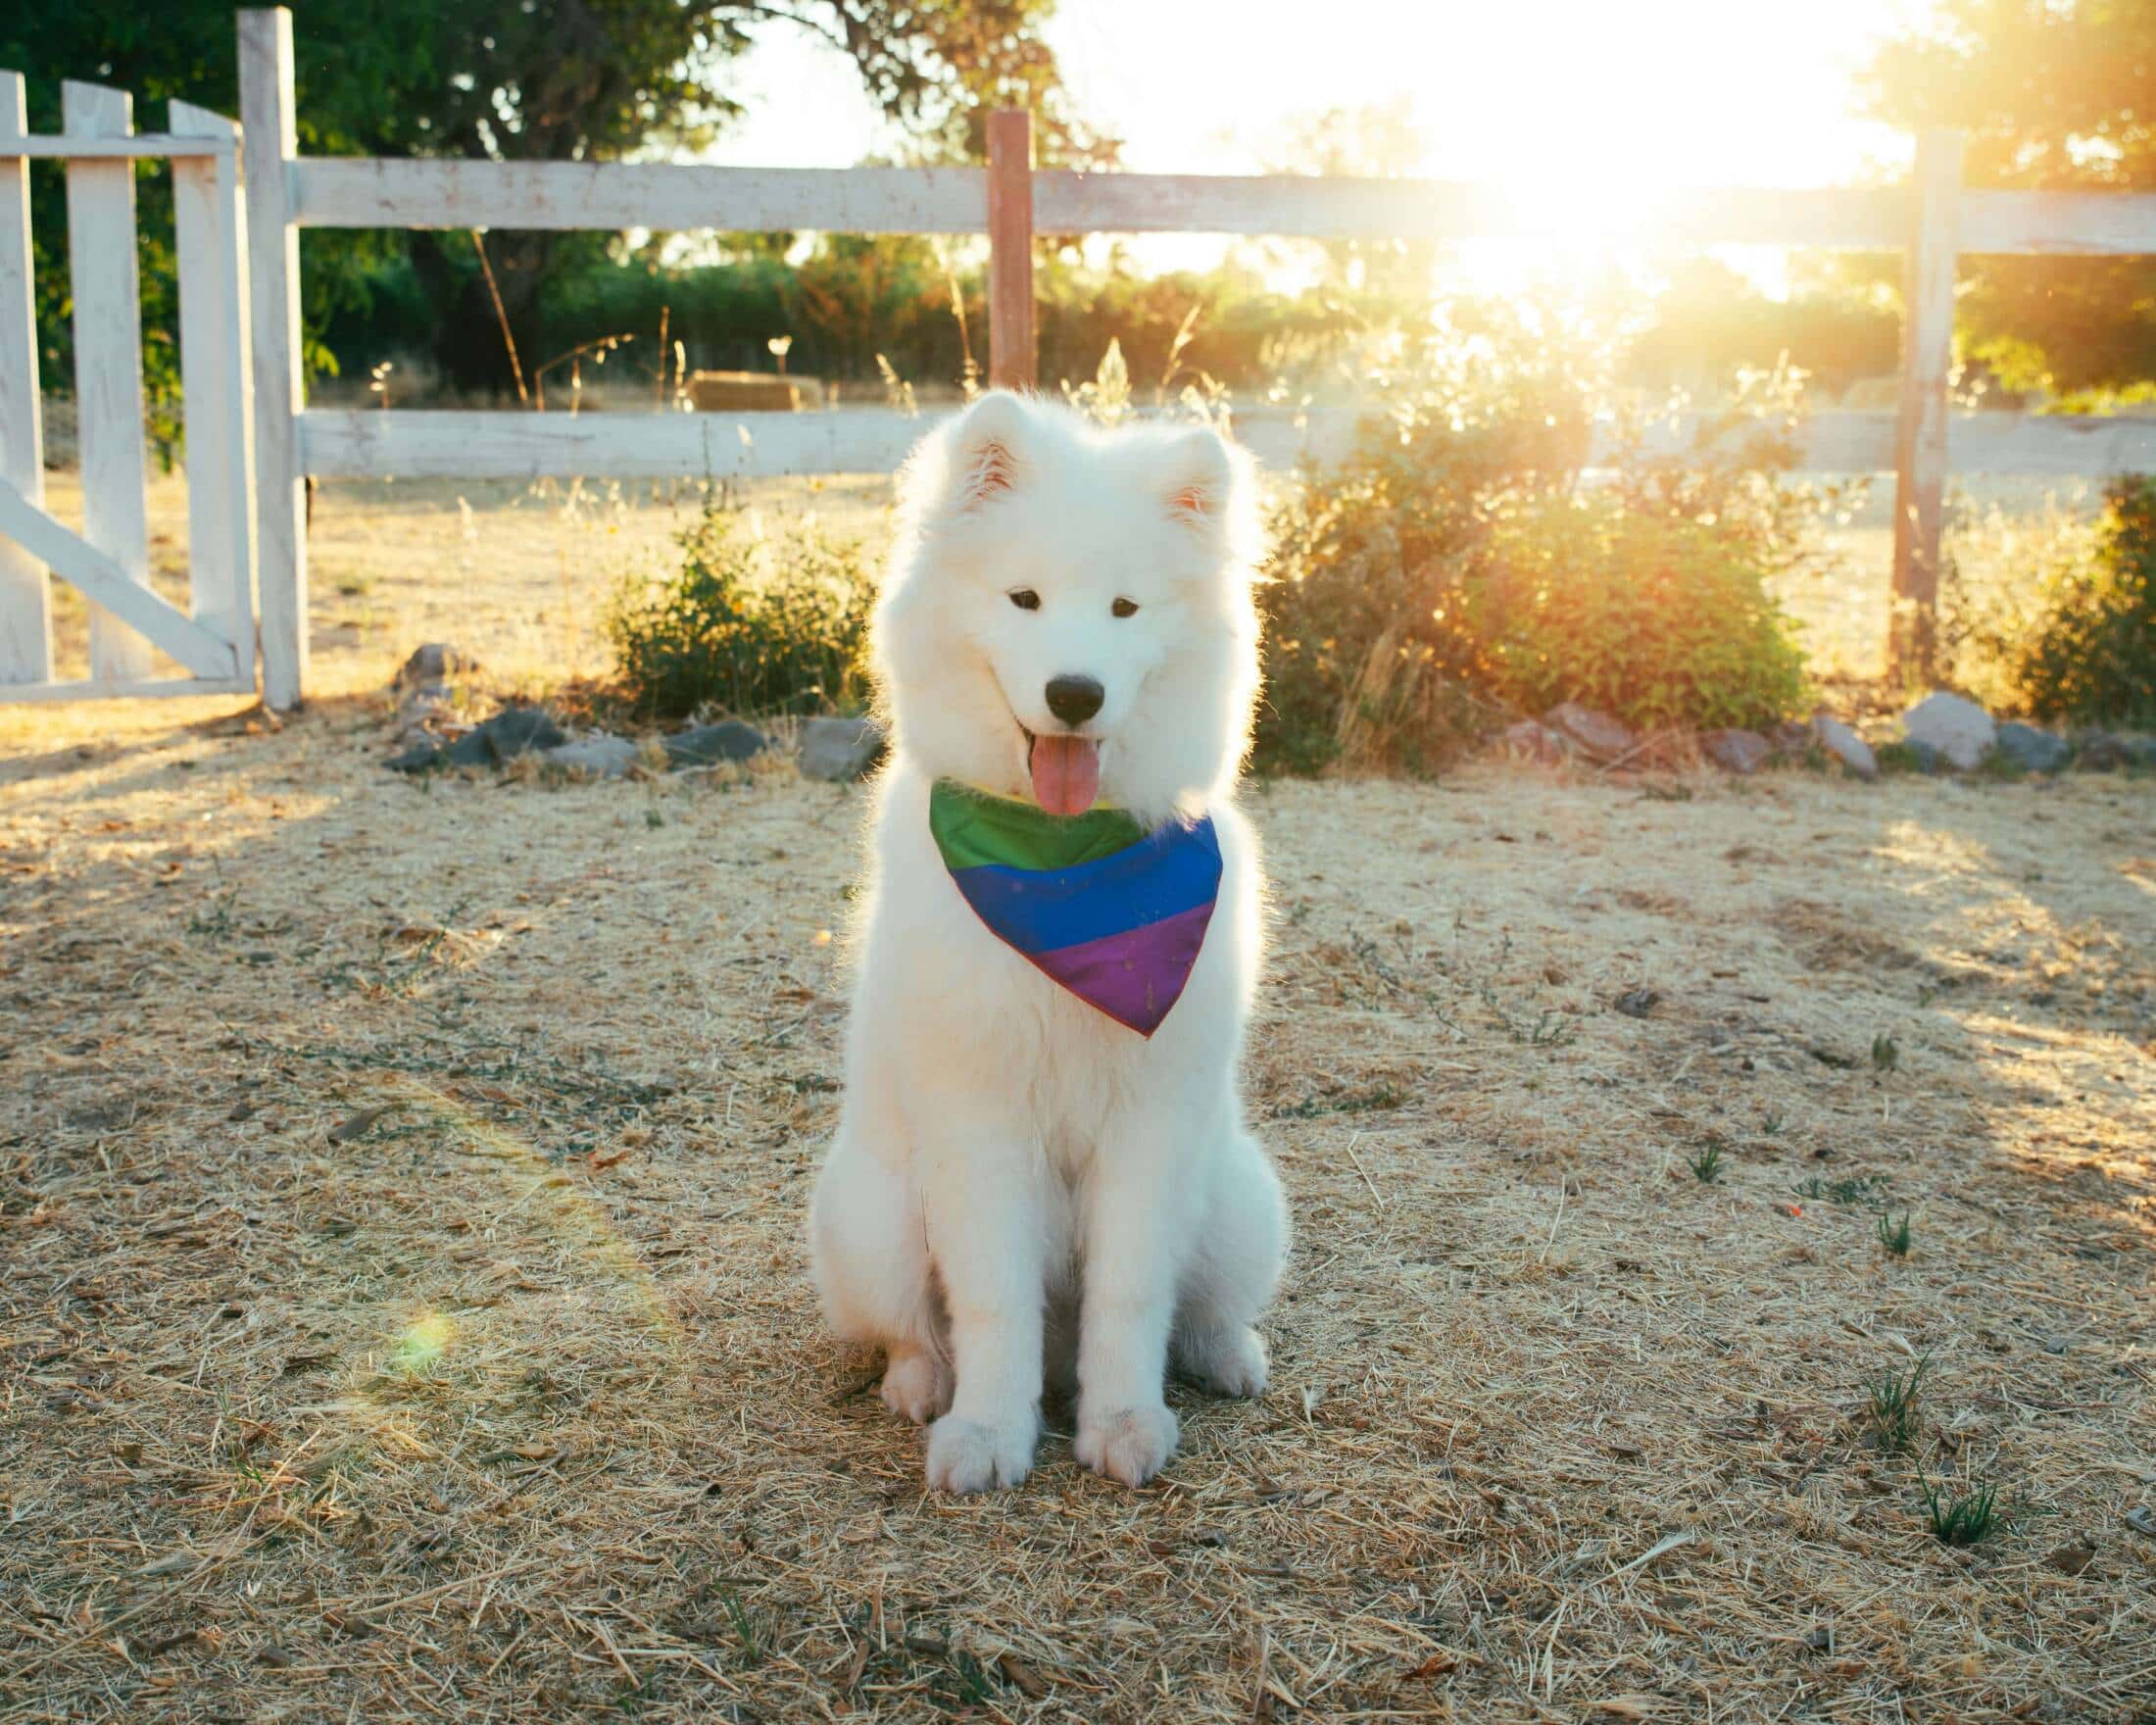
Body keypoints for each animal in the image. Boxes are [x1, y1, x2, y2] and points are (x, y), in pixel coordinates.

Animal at [806, 394, 1276, 1492]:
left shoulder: (1150, 1129)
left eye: (1124, 610)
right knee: (912, 1328)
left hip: (1239, 1198)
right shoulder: (977, 1122)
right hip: (873, 1216)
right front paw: (985, 1432)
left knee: (1203, 1307)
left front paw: (1123, 1422)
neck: (1061, 864)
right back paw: (920, 1385)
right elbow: (989, 1303)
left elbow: (1132, 1297)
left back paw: (1228, 1356)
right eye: (1023, 598)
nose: (1074, 693)